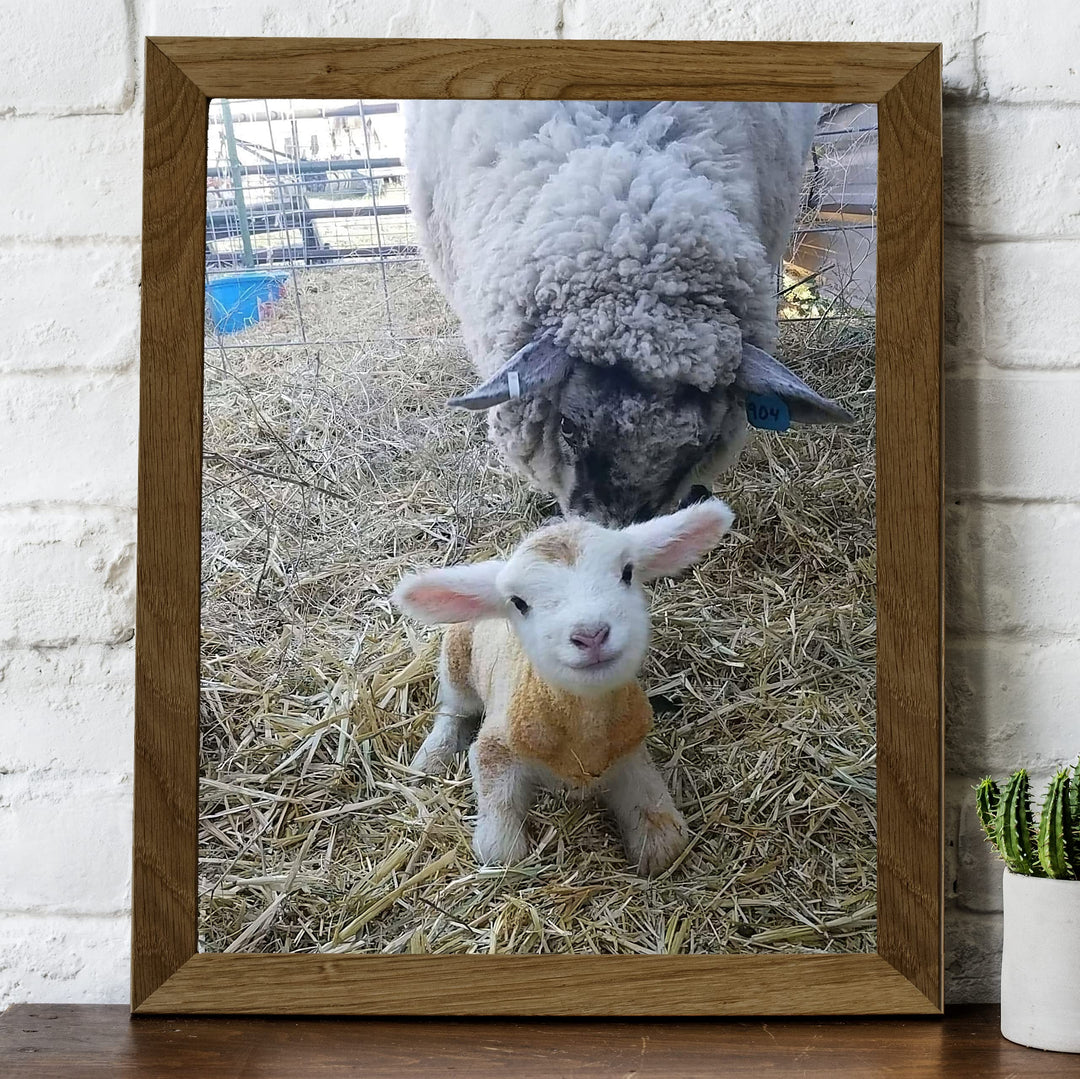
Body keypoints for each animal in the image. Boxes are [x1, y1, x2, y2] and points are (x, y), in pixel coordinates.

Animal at [391, 498, 734, 876]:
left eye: (627, 572)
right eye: (519, 602)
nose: (591, 634)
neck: (584, 733)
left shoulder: (629, 750)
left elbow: (662, 830)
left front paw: (655, 841)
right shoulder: (496, 747)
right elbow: (500, 849)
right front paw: (503, 845)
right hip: (456, 659)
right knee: (453, 709)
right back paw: (432, 756)